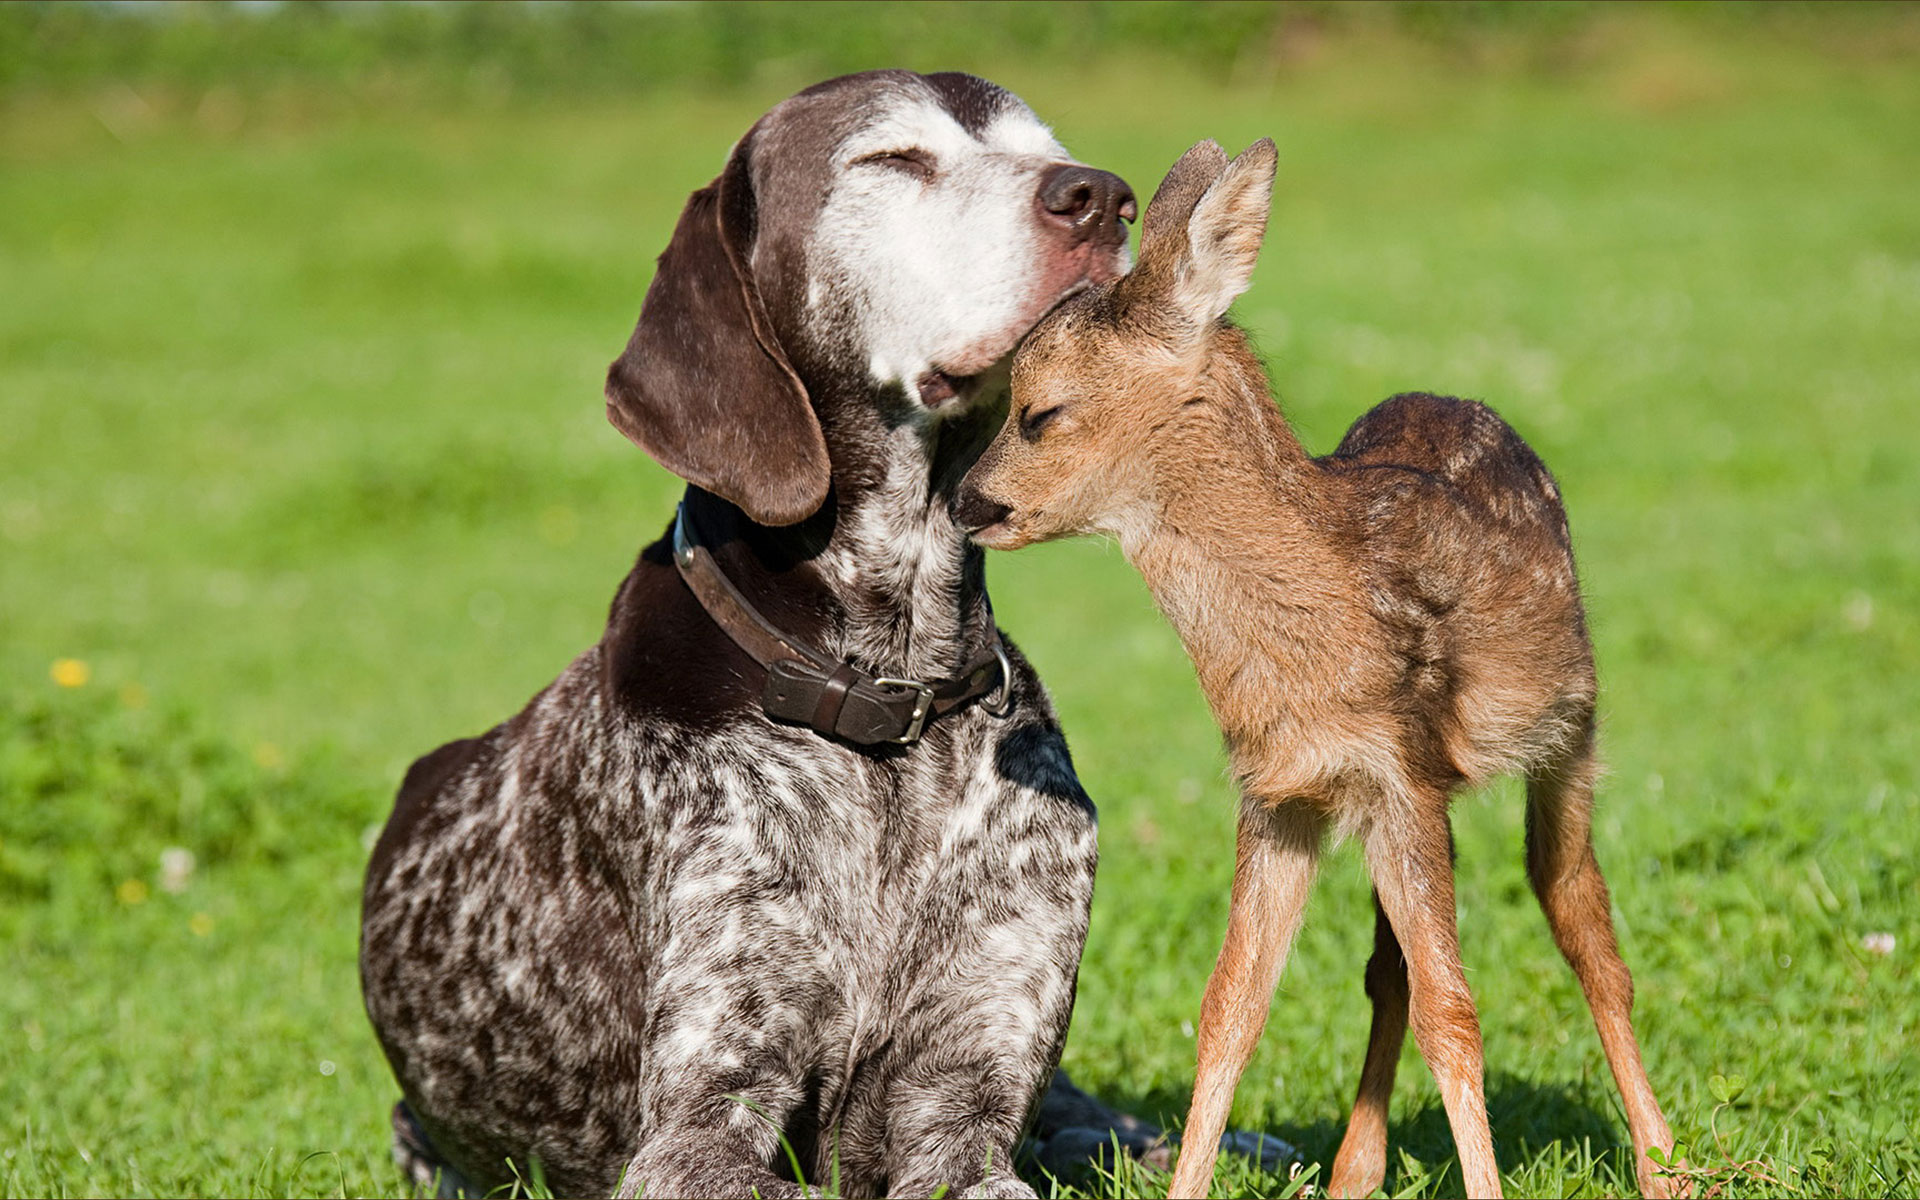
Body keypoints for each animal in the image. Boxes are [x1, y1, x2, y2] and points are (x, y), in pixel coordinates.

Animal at [360, 72, 1136, 1198]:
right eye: (891, 160)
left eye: (1050, 145)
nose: (1103, 195)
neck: (886, 701)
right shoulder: (700, 1125)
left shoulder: (968, 1105)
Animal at [960, 143, 1681, 1198]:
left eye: (1039, 411)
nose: (968, 502)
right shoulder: (1282, 792)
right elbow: (1231, 1007)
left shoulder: (1400, 767)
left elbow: (1456, 1012)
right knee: (1392, 970)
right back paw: (1354, 1170)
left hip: (1569, 732)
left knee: (1581, 919)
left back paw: (1664, 1159)